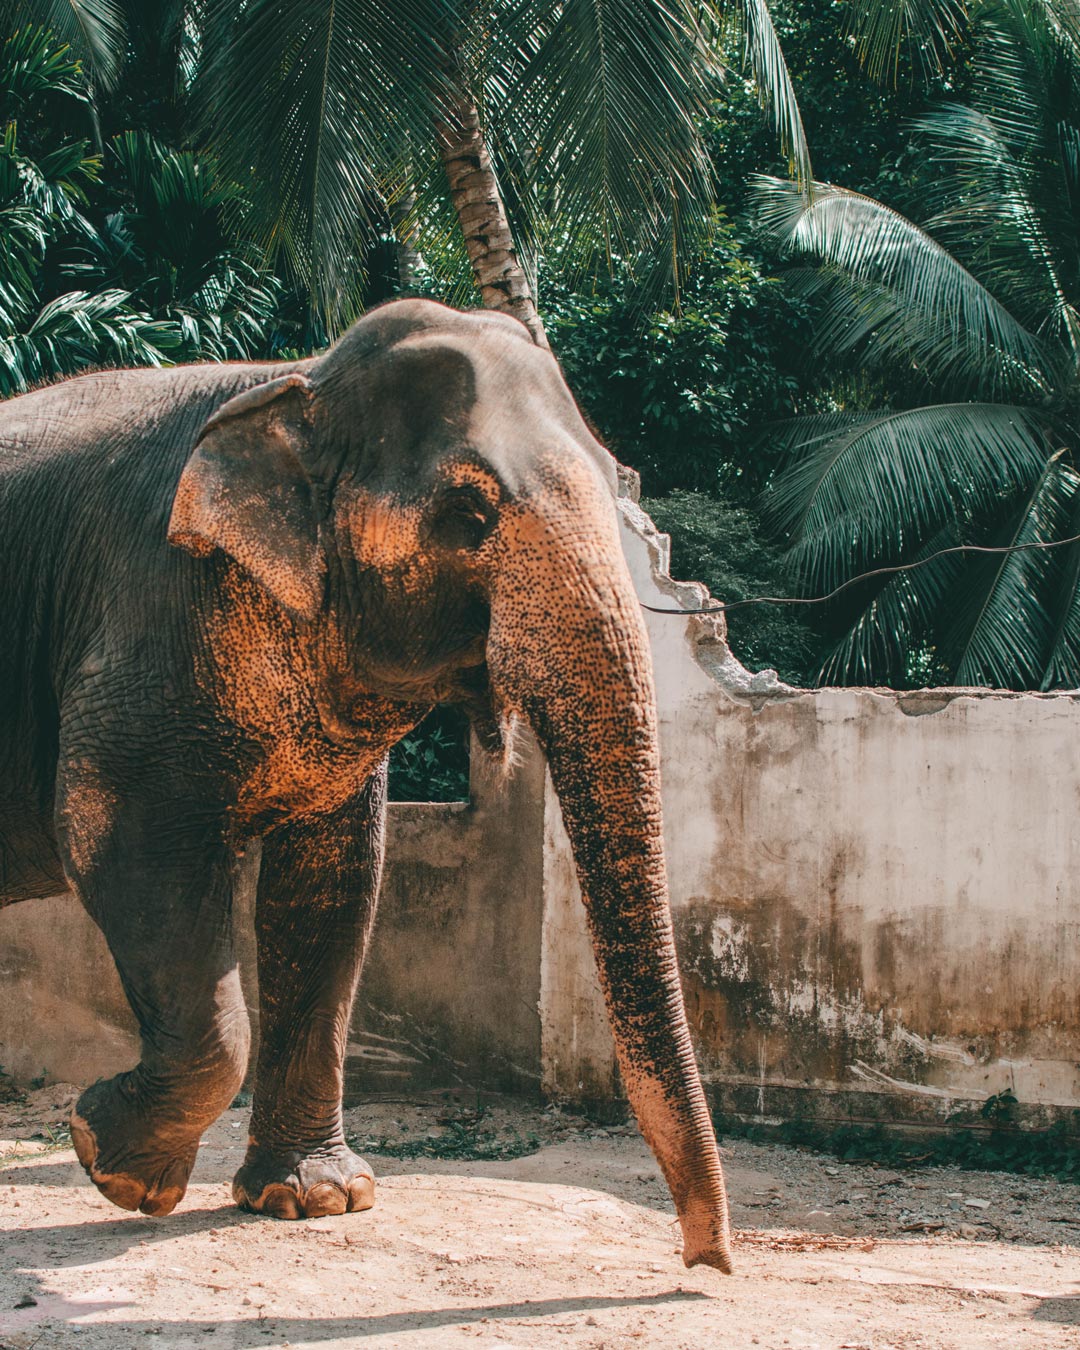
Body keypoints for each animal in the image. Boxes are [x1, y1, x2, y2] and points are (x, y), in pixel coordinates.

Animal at [0, 298, 732, 1272]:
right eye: (466, 514)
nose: (705, 1261)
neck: (297, 381)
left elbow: (333, 883)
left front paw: (315, 1200)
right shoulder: (143, 619)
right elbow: (118, 841)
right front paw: (112, 1163)